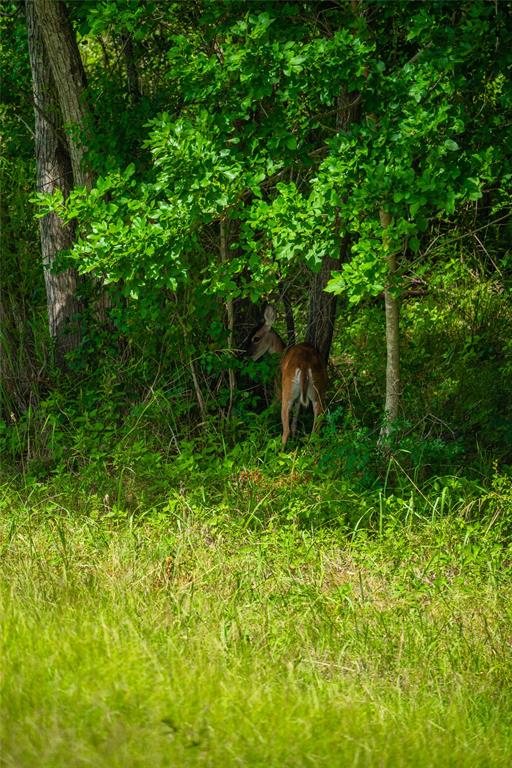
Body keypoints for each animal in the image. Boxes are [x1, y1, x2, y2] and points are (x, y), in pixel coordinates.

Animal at [245, 308, 326, 450]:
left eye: (256, 338)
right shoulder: (299, 398)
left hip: (287, 391)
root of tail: (305, 365)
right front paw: (295, 437)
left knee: (285, 430)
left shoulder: (278, 387)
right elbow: (296, 415)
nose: (246, 356)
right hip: (317, 389)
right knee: (317, 423)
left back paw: (279, 452)